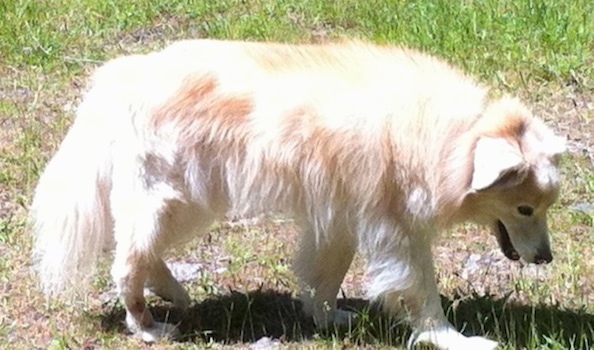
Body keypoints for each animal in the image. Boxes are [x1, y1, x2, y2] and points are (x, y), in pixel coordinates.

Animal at [30, 39, 560, 350]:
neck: (453, 140)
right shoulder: (397, 232)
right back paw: (146, 326)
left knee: (143, 253)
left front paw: (326, 320)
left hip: (193, 203)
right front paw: (449, 338)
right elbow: (421, 292)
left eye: (543, 208)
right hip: (170, 201)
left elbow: (325, 274)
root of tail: (118, 79)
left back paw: (174, 293)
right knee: (125, 262)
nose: (546, 259)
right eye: (525, 208)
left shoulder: (341, 217)